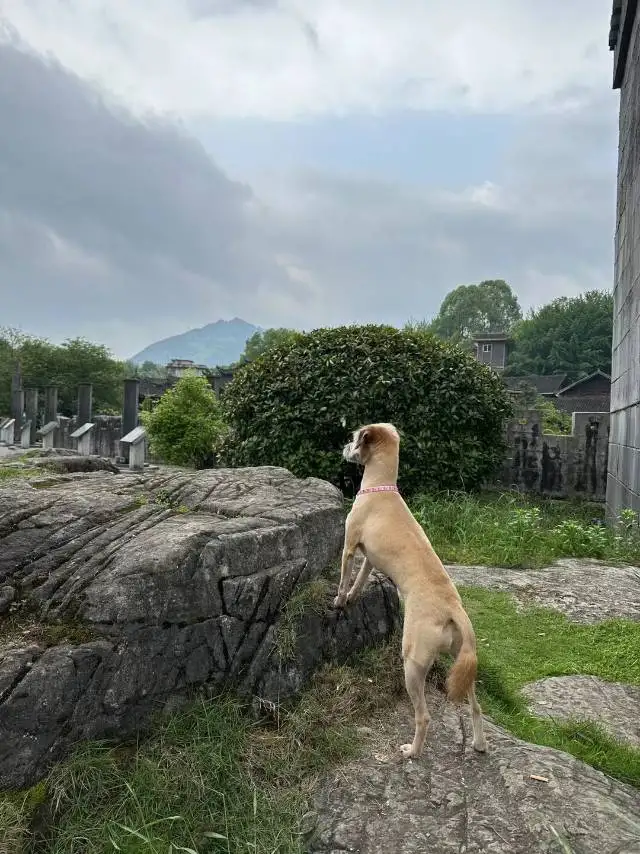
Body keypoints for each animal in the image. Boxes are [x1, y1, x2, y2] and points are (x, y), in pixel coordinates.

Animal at [336, 424, 484, 760]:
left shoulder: (350, 546)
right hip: (461, 661)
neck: (381, 487)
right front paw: (352, 598)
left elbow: (343, 578)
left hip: (413, 662)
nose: (343, 447)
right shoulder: (369, 558)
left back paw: (412, 751)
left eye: (354, 437)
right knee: (476, 707)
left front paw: (338, 601)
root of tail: (453, 609)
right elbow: (359, 580)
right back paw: (479, 744)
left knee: (424, 716)